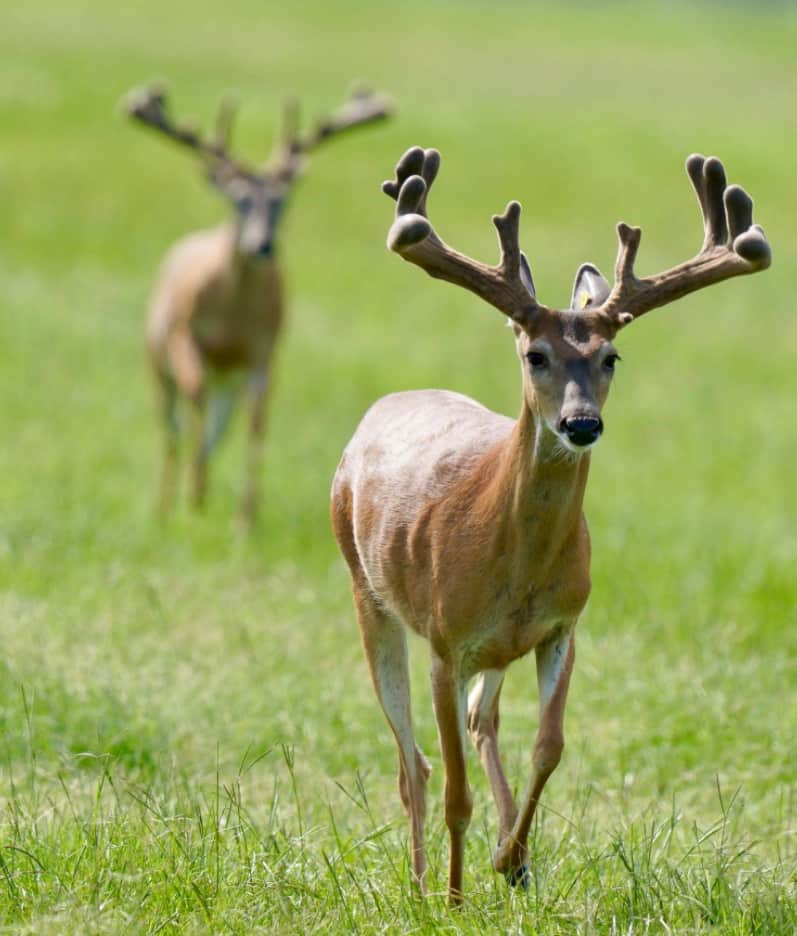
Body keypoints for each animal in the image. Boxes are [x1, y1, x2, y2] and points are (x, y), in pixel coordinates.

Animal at [126, 84, 391, 524]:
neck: (232, 316)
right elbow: (194, 395)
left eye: (282, 202)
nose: (262, 245)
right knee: (173, 424)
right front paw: (195, 496)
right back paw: (167, 506)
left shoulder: (265, 348)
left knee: (216, 425)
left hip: (228, 381)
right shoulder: (185, 333)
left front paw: (243, 518)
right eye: (238, 201)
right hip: (156, 355)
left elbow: (257, 421)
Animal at [330, 145, 771, 903]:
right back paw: (420, 885)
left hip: (493, 650)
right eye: (535, 355)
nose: (581, 422)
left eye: (610, 357)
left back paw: (510, 861)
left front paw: (509, 856)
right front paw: (454, 899)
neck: (512, 563)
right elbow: (453, 790)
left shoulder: (563, 625)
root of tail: (382, 408)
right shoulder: (445, 639)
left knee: (479, 721)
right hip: (367, 590)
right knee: (411, 762)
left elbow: (549, 747)